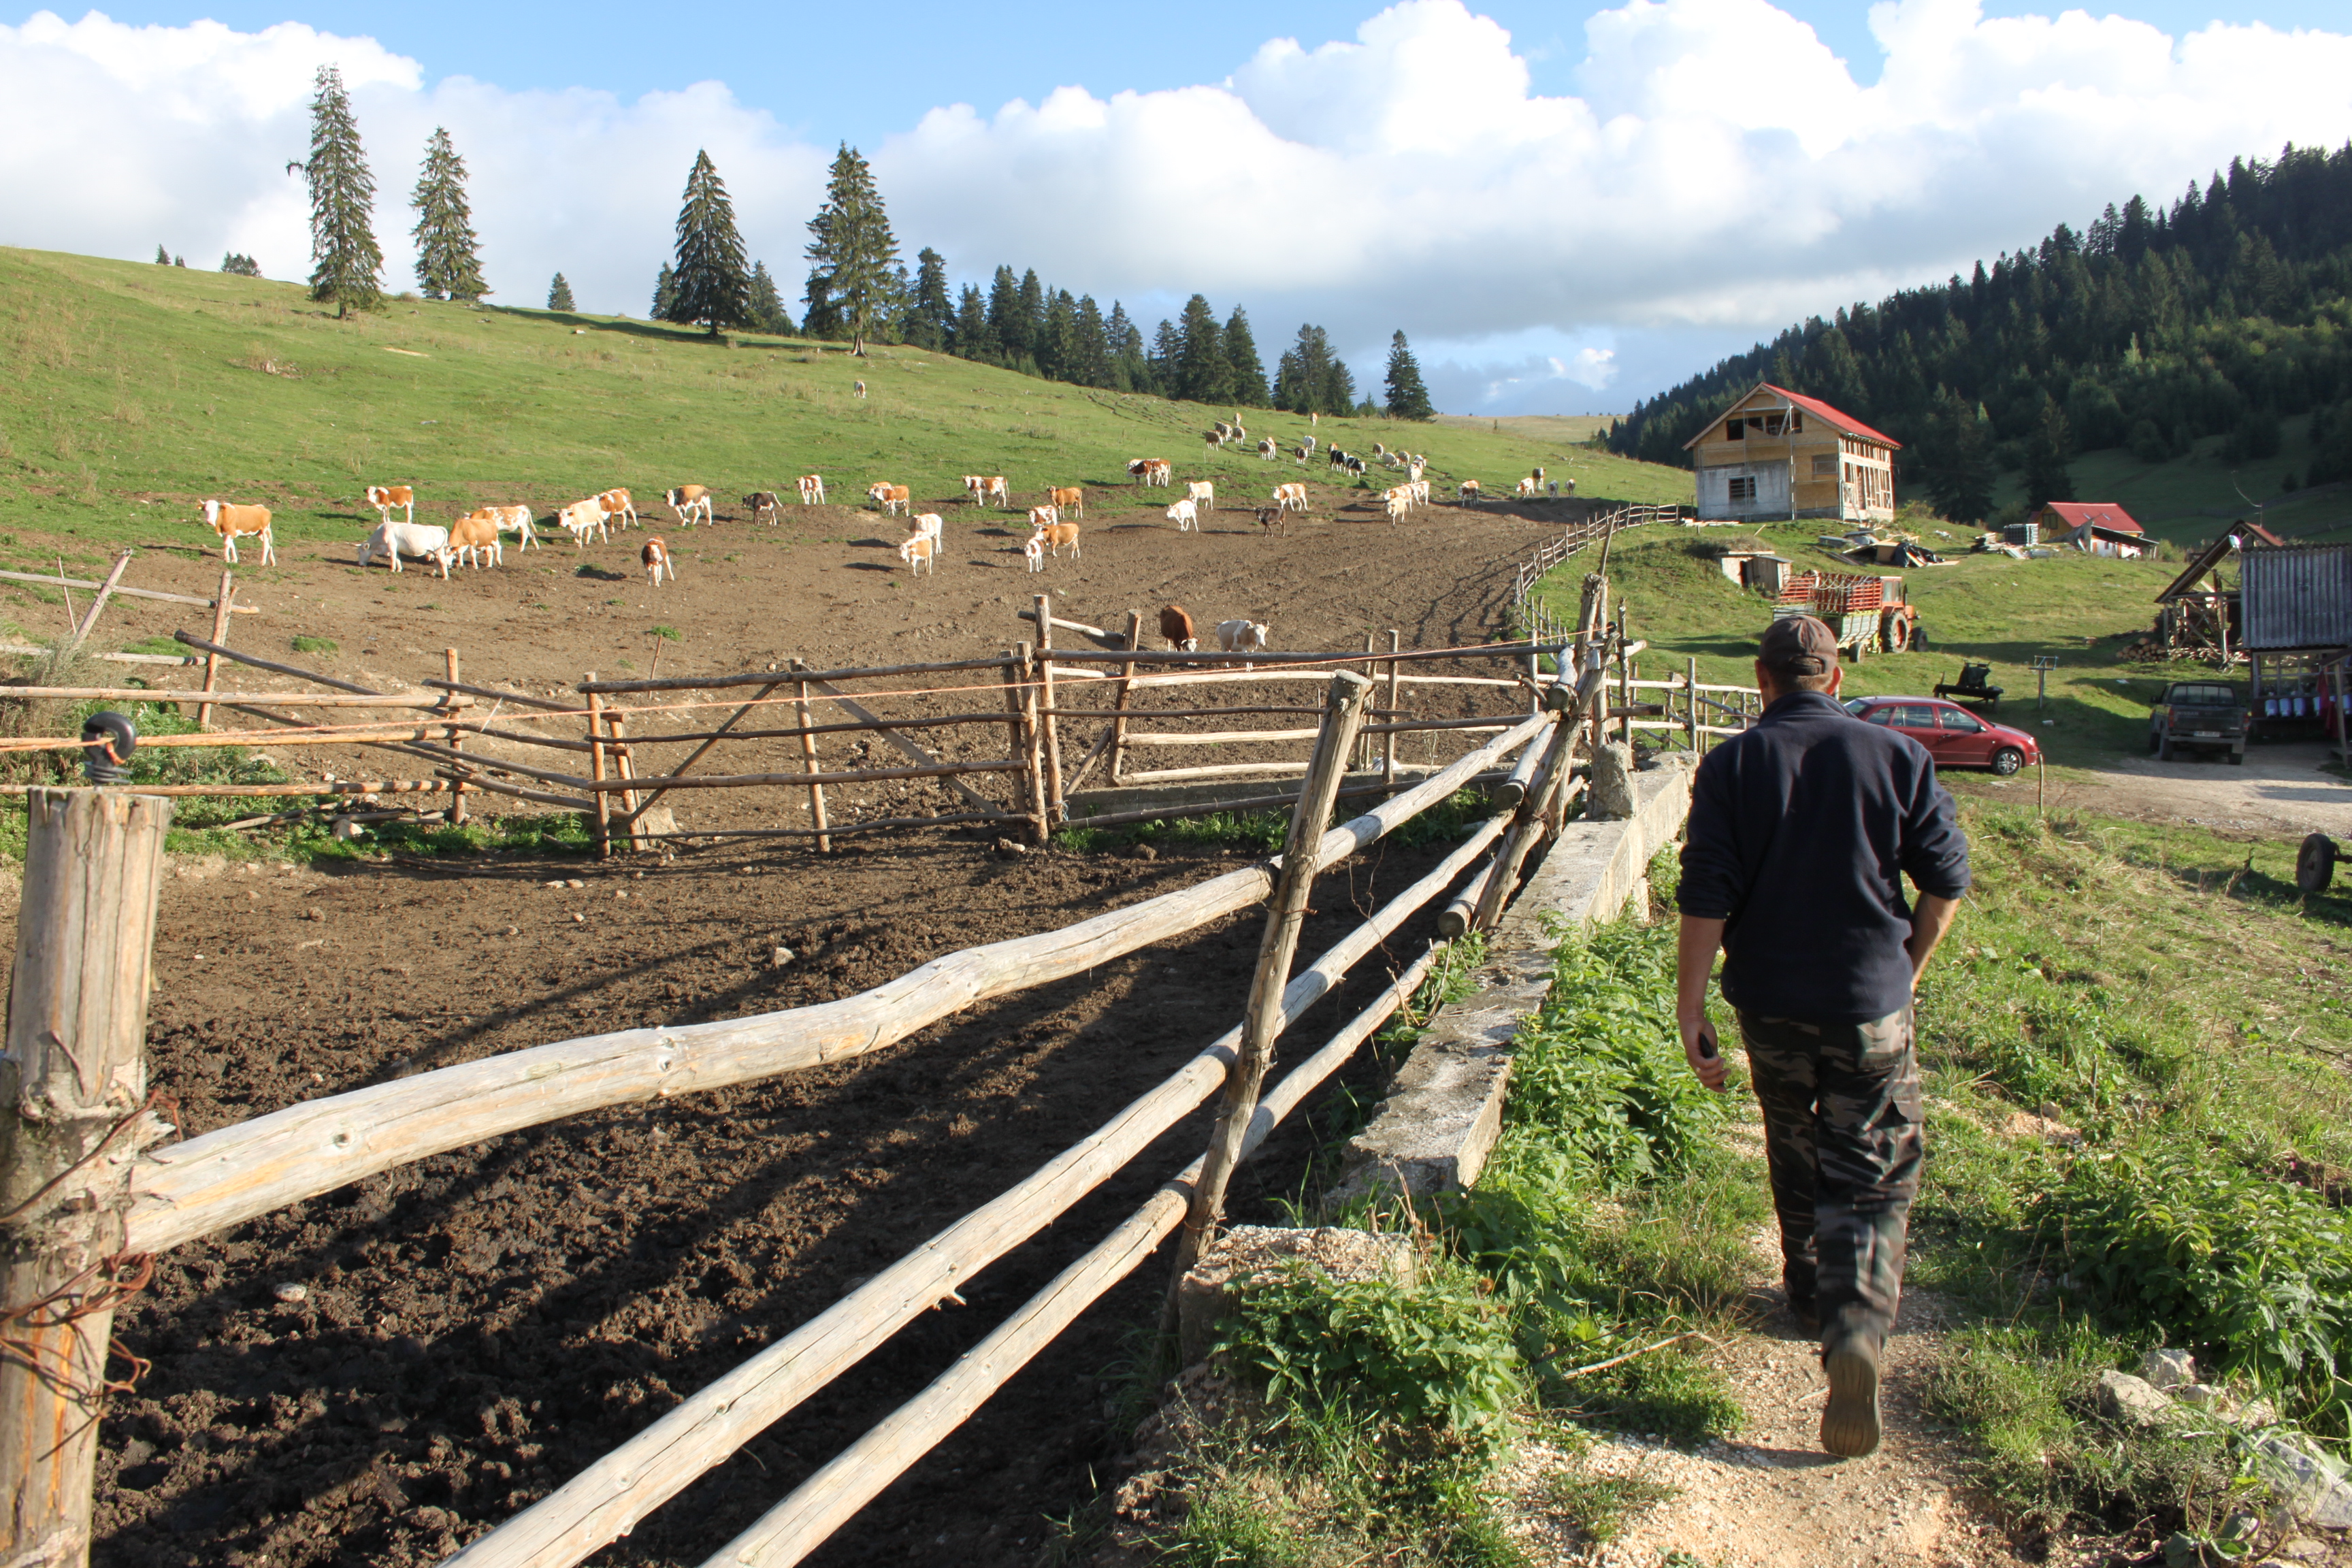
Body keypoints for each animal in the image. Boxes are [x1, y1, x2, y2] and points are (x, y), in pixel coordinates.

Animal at [355, 524, 451, 581]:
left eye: (360, 552)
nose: (360, 564)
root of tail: (439, 528)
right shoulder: (395, 548)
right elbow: (397, 558)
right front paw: (399, 569)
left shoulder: (392, 545)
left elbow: (393, 558)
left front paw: (392, 569)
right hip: (436, 551)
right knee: (438, 562)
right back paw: (432, 573)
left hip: (439, 550)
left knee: (443, 562)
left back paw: (445, 577)